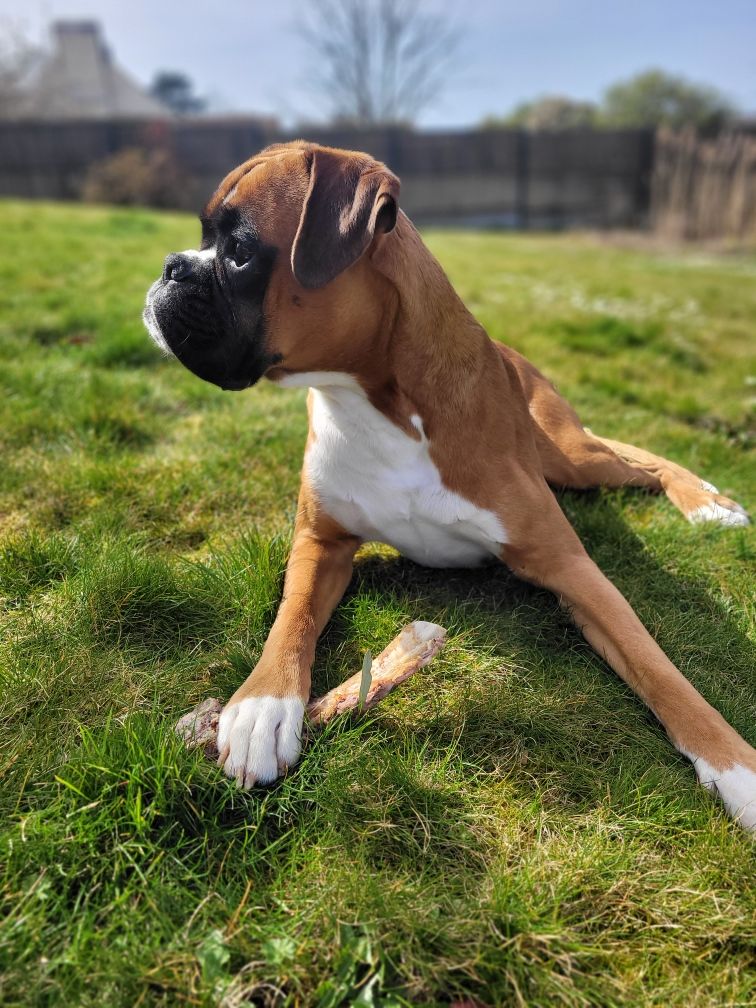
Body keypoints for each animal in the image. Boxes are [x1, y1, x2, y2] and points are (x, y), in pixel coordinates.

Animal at [144, 141, 755, 832]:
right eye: (202, 238)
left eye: (241, 251)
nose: (170, 267)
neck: (378, 402)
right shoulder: (320, 543)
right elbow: (291, 617)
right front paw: (260, 708)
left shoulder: (572, 570)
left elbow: (659, 668)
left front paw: (739, 770)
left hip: (572, 459)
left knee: (644, 465)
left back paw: (708, 502)